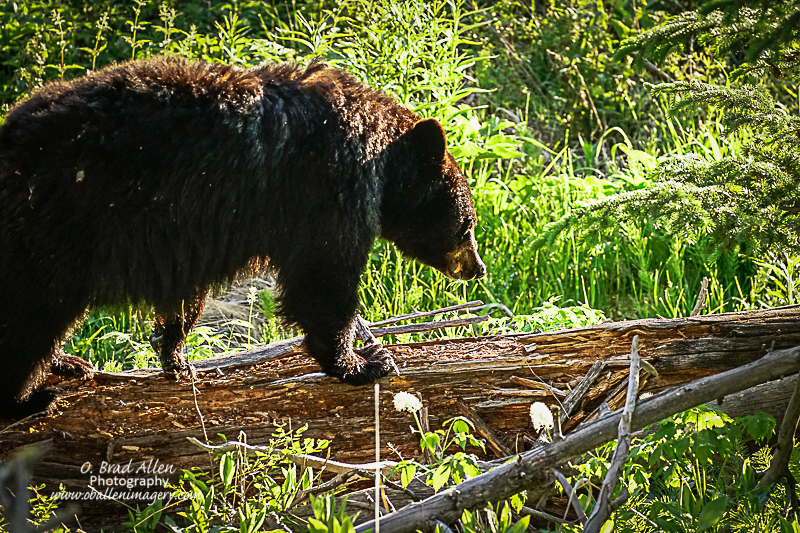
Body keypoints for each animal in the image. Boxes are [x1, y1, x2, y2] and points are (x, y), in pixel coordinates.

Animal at [0, 56, 484, 418]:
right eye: (469, 224)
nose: (476, 269)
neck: (381, 155)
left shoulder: (186, 233)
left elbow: (186, 295)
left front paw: (176, 357)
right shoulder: (327, 187)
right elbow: (323, 277)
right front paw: (363, 363)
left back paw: (66, 363)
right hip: (58, 229)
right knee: (30, 318)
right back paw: (30, 397)